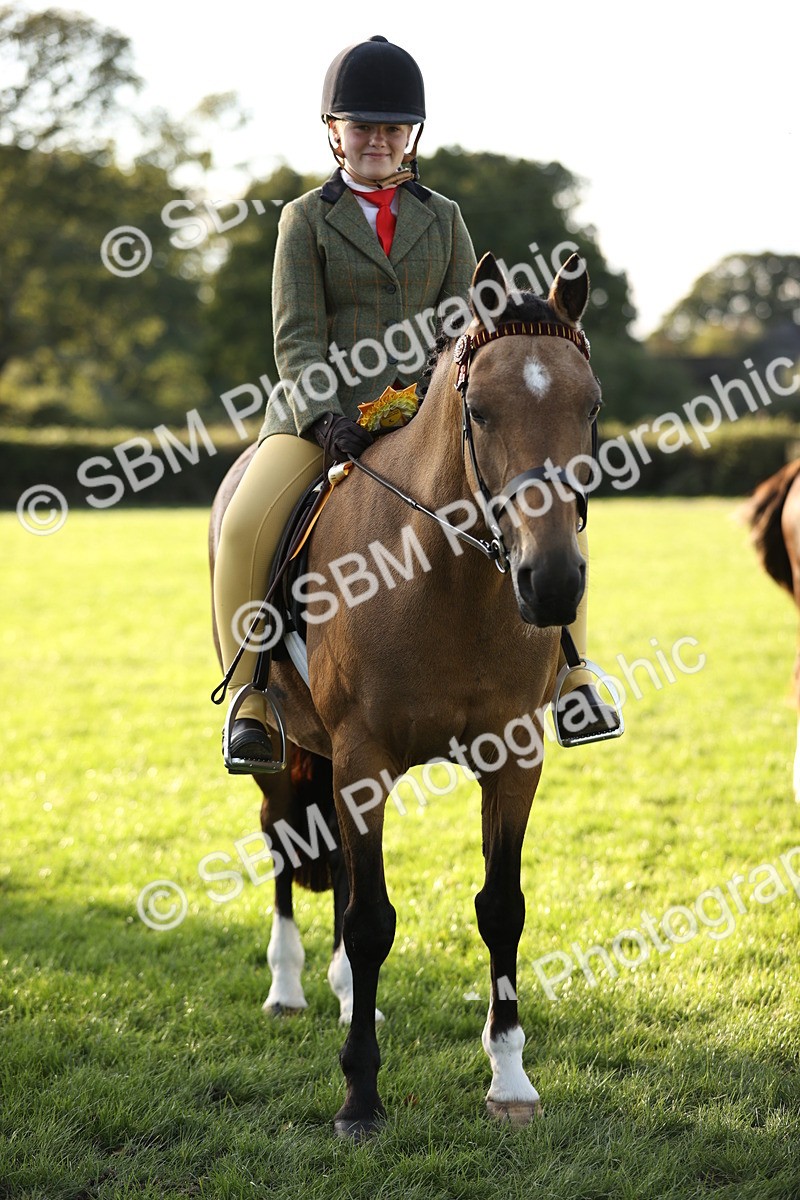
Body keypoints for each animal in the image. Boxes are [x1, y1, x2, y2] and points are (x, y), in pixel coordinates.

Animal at [209, 251, 603, 1138]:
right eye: (480, 410)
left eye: (591, 406)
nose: (553, 583)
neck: (449, 577)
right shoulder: (364, 758)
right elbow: (370, 921)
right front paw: (360, 1095)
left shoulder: (513, 757)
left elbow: (500, 906)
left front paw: (510, 1080)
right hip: (289, 750)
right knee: (285, 840)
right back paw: (287, 988)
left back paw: (344, 994)